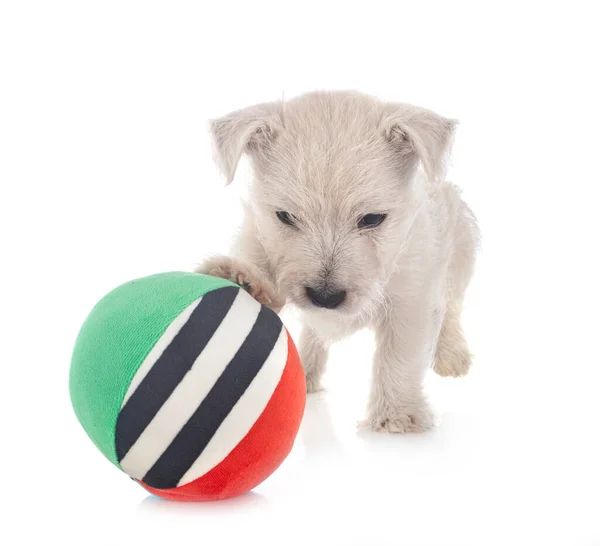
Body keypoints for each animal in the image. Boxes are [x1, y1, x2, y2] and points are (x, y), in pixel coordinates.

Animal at [197, 92, 478, 434]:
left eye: (372, 219)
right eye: (285, 216)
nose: (325, 297)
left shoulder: (411, 299)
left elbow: (399, 356)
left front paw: (396, 414)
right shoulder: (259, 235)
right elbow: (259, 263)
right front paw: (242, 278)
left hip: (461, 255)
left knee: (452, 307)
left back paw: (452, 356)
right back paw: (306, 372)